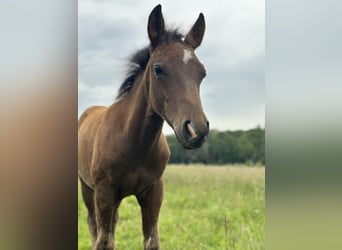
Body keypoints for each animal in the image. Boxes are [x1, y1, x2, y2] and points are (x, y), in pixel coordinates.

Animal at [78, 4, 208, 250]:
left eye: (202, 73)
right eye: (158, 69)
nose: (197, 130)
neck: (133, 144)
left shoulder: (153, 192)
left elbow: (151, 241)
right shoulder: (104, 193)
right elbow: (103, 241)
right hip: (87, 188)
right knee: (93, 225)